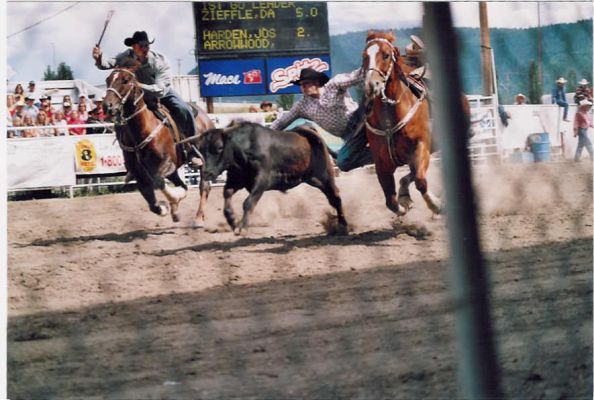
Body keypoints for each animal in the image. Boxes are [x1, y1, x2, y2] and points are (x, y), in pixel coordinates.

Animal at [103, 67, 214, 227]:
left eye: (125, 80)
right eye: (108, 80)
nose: (107, 106)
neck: (141, 130)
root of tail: (207, 118)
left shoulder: (166, 162)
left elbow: (159, 182)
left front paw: (174, 198)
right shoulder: (138, 173)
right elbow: (151, 201)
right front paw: (165, 207)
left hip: (204, 161)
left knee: (203, 186)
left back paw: (198, 218)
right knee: (183, 184)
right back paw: (176, 211)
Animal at [358, 31, 442, 217]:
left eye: (386, 55)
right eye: (364, 56)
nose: (371, 85)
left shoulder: (421, 146)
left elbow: (420, 181)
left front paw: (436, 205)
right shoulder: (381, 163)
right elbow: (391, 201)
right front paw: (403, 204)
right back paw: (404, 192)